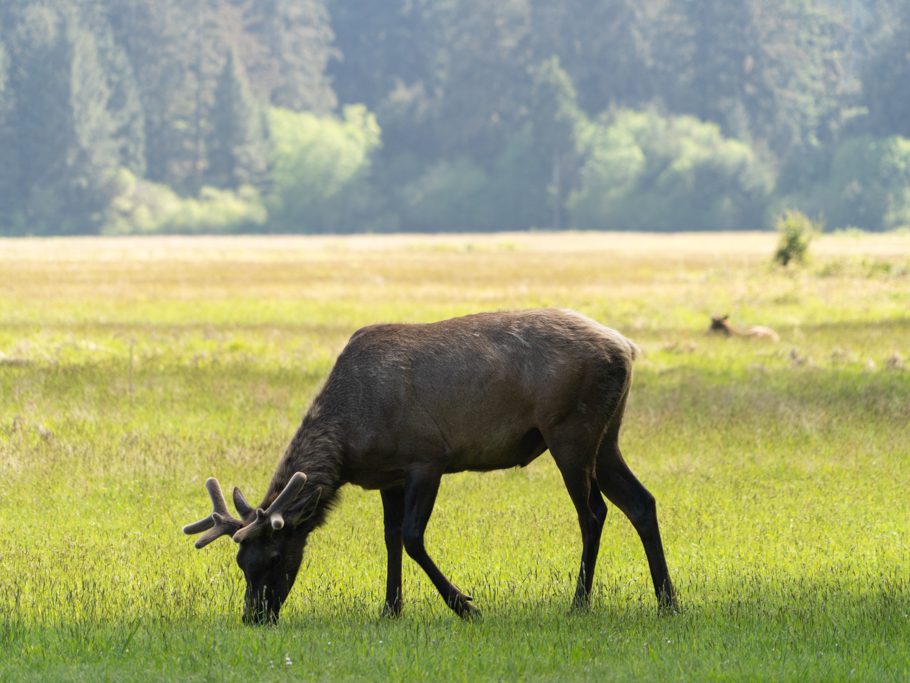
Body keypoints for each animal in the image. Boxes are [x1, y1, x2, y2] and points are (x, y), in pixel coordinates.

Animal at [185, 310, 680, 624]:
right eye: (240, 563)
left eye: (273, 557)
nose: (253, 616)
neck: (350, 439)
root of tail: (628, 347)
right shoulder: (386, 477)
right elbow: (389, 539)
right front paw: (390, 608)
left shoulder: (427, 458)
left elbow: (411, 537)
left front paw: (465, 605)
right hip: (607, 434)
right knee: (641, 502)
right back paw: (668, 602)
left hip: (570, 430)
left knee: (593, 512)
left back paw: (579, 603)